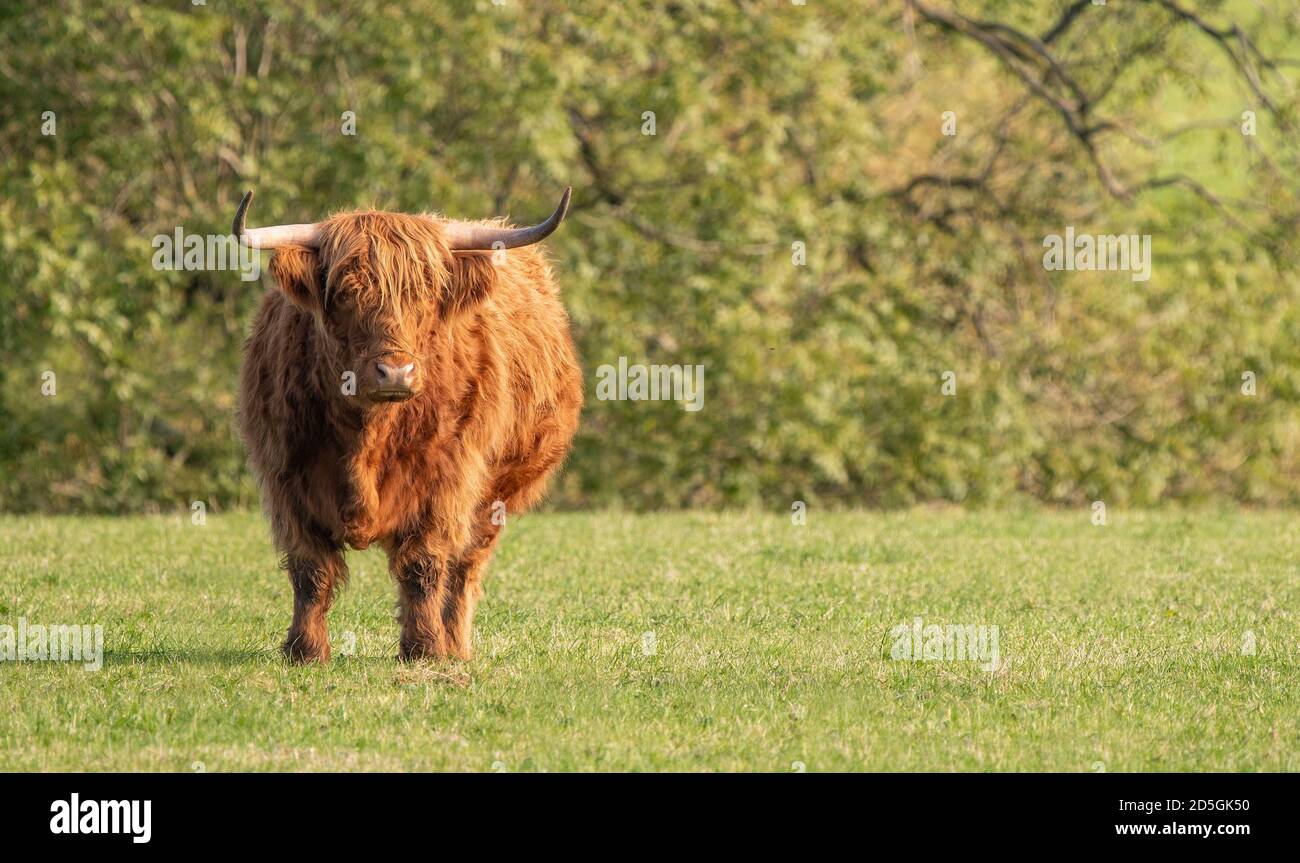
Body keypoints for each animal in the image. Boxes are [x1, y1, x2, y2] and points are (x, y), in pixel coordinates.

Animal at [232, 188, 583, 663]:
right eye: (347, 292)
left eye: (426, 295)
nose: (395, 373)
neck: (366, 436)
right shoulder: (286, 477)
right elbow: (310, 571)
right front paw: (305, 650)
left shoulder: (446, 481)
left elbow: (423, 566)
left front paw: (425, 649)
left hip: (494, 499)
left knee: (464, 570)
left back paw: (456, 646)